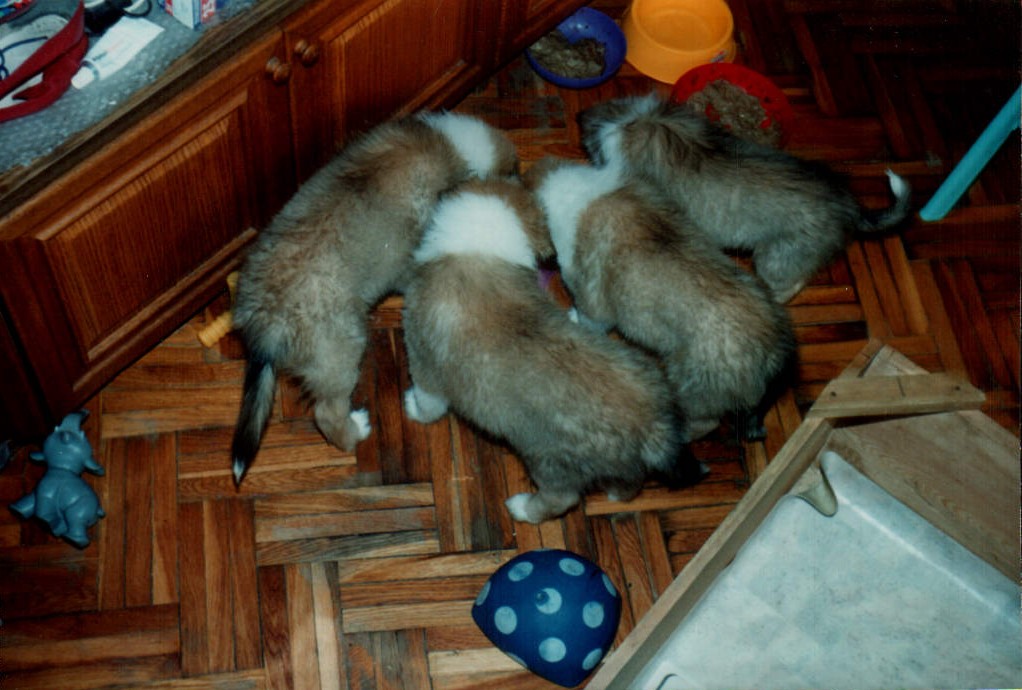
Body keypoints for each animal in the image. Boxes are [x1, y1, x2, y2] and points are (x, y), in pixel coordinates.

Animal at [401, 178, 707, 523]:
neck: (478, 246)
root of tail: (651, 425)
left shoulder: (424, 362)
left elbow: (429, 404)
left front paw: (412, 408)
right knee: (631, 483)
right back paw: (615, 496)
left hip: (548, 463)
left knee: (562, 500)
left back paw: (522, 508)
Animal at [525, 157, 795, 442]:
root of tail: (775, 352)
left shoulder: (592, 299)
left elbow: (588, 316)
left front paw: (573, 317)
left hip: (694, 387)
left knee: (706, 423)